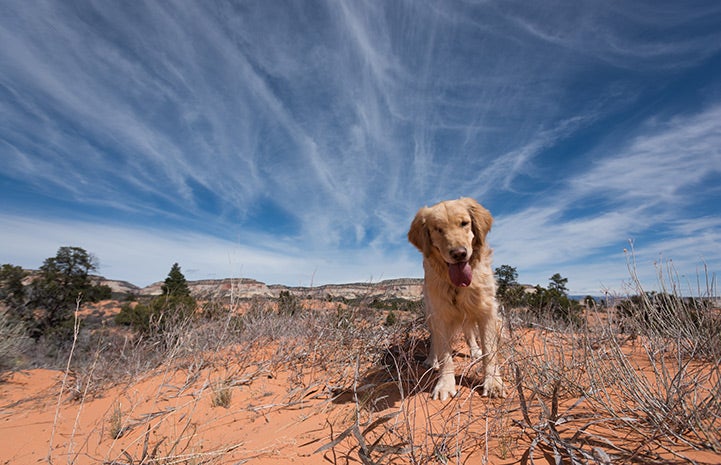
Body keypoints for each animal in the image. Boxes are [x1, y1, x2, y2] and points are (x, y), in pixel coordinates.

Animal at [408, 196, 504, 398]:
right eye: (438, 229)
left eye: (464, 223)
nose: (459, 254)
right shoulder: (440, 314)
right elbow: (445, 354)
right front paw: (445, 385)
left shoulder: (486, 310)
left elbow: (490, 350)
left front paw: (493, 383)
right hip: (430, 313)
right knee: (435, 341)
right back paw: (432, 360)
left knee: (469, 332)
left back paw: (475, 350)